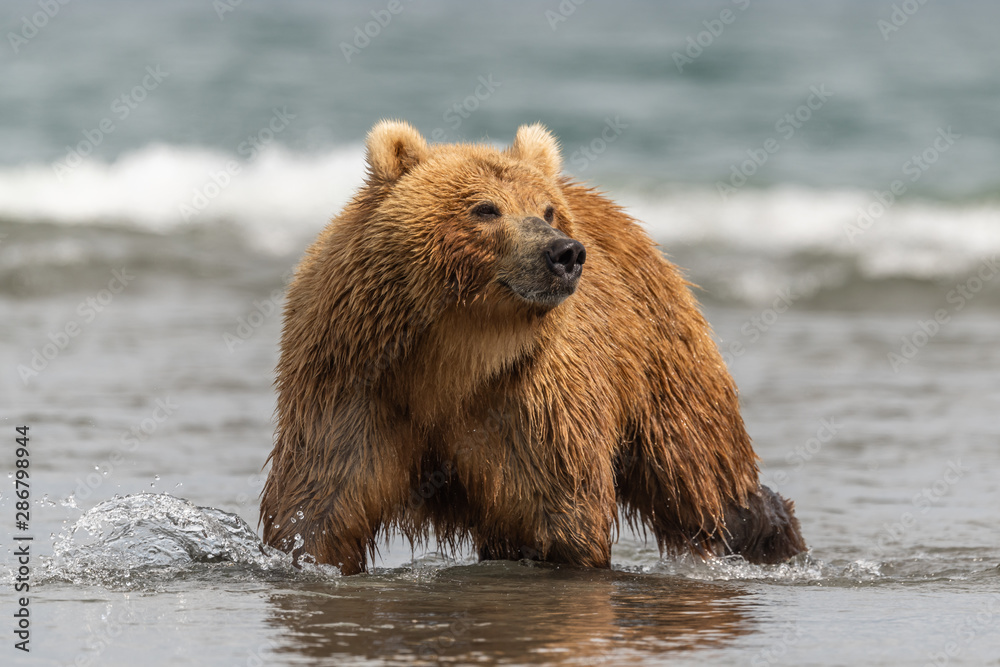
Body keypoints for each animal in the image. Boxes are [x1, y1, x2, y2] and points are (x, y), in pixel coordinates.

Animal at [260, 120, 806, 575]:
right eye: (485, 208)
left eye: (545, 209)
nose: (565, 252)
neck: (452, 354)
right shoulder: (355, 381)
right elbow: (322, 504)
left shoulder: (530, 401)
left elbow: (554, 514)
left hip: (662, 359)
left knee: (703, 475)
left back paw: (769, 537)